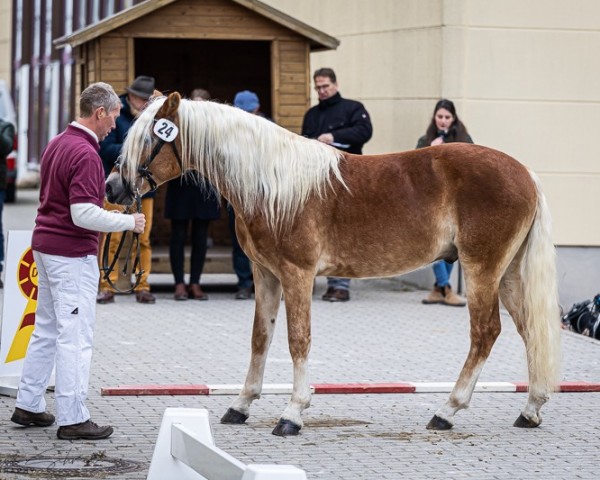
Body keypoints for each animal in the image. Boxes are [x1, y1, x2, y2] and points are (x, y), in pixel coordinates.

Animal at [106, 92, 564, 436]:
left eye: (148, 139)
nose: (113, 187)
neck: (271, 183)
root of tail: (525, 173)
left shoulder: (297, 274)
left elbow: (298, 339)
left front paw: (292, 414)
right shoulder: (264, 275)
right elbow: (260, 338)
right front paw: (241, 405)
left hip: (482, 268)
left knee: (486, 333)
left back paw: (447, 411)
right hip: (507, 274)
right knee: (530, 331)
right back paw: (530, 409)